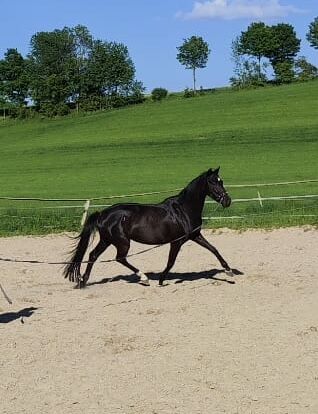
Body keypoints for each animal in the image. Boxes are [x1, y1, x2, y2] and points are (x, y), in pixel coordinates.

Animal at [64, 168, 232, 288]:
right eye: (213, 182)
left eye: (221, 181)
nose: (228, 201)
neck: (183, 210)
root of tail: (102, 214)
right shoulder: (176, 242)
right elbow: (171, 262)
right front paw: (162, 280)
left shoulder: (195, 236)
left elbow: (214, 249)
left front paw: (229, 271)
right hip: (122, 242)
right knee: (120, 258)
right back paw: (144, 278)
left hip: (107, 240)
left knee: (93, 255)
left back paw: (83, 281)